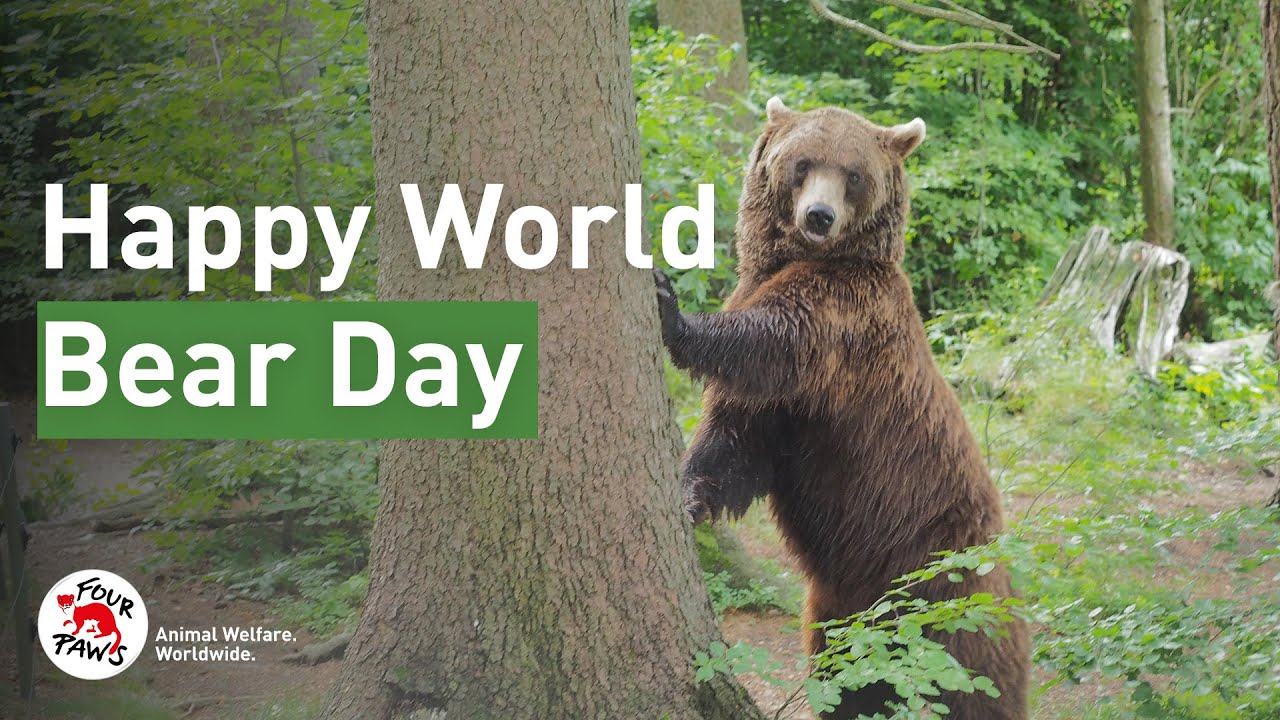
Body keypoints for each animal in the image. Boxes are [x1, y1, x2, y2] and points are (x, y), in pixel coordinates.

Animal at [653, 97, 1029, 720]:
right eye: (802, 162)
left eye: (853, 174)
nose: (819, 216)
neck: (804, 259)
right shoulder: (783, 409)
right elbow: (736, 442)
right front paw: (689, 495)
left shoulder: (844, 325)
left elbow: (767, 339)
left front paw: (672, 309)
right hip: (843, 610)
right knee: (846, 674)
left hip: (944, 582)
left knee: (971, 678)